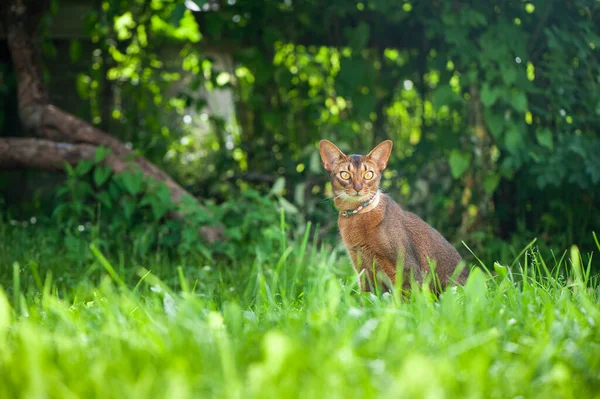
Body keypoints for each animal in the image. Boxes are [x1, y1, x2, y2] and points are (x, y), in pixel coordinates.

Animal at [318, 140, 468, 294]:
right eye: (345, 175)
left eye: (368, 175)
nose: (358, 188)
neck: (356, 214)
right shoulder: (361, 264)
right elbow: (366, 296)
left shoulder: (407, 268)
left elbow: (409, 297)